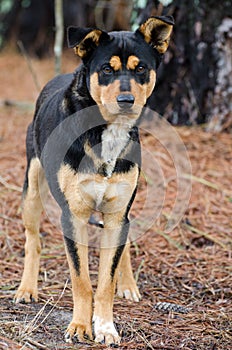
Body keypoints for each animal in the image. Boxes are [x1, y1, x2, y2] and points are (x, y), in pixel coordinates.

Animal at [14, 15, 174, 344]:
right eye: (107, 70)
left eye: (141, 69)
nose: (126, 100)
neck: (106, 131)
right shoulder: (73, 215)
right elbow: (82, 281)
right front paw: (79, 327)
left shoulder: (116, 214)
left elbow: (106, 281)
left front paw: (105, 326)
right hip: (32, 189)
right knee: (33, 240)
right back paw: (27, 288)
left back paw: (128, 283)